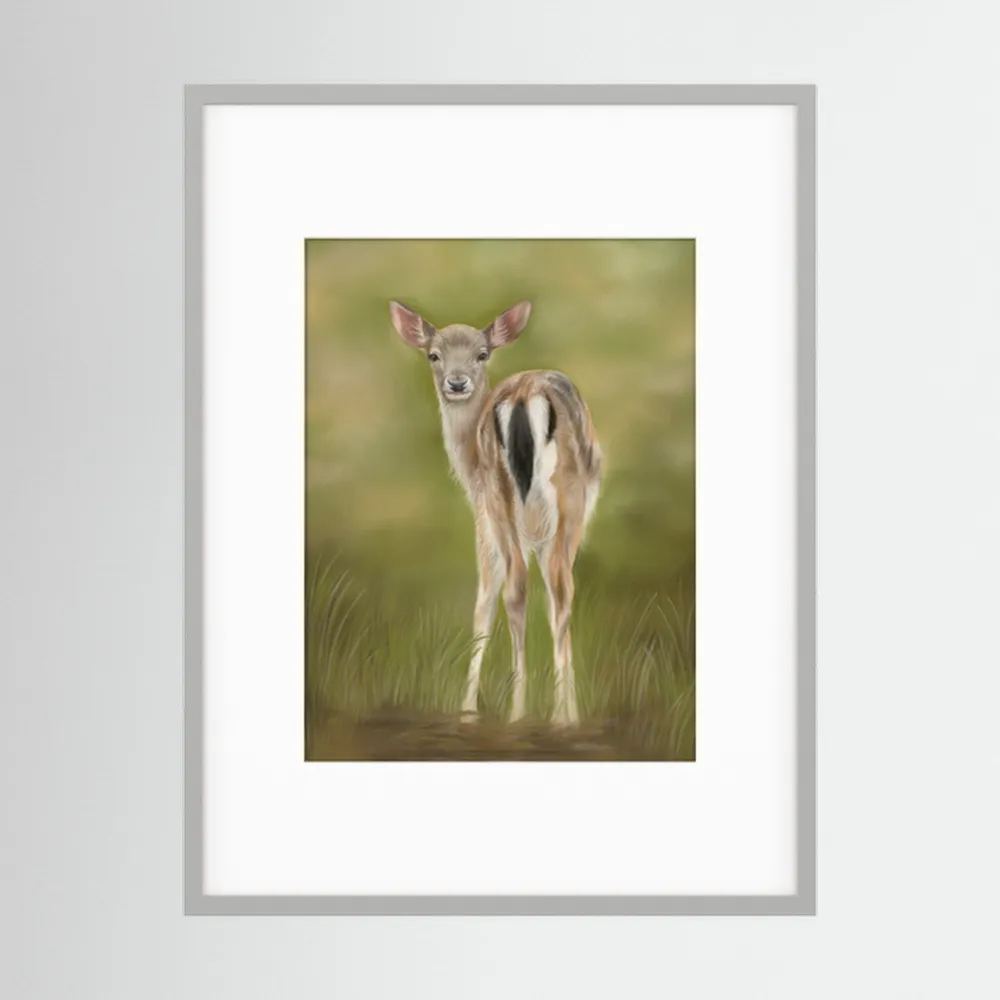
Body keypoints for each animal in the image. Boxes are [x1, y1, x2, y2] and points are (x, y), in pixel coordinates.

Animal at [389, 300, 603, 726]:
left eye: (482, 354)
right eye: (433, 354)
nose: (456, 383)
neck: (467, 465)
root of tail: (524, 396)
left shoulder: (493, 518)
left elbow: (492, 599)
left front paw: (469, 709)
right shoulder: (508, 524)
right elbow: (510, 600)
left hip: (507, 497)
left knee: (525, 585)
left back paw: (525, 712)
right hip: (548, 503)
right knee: (550, 587)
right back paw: (545, 715)